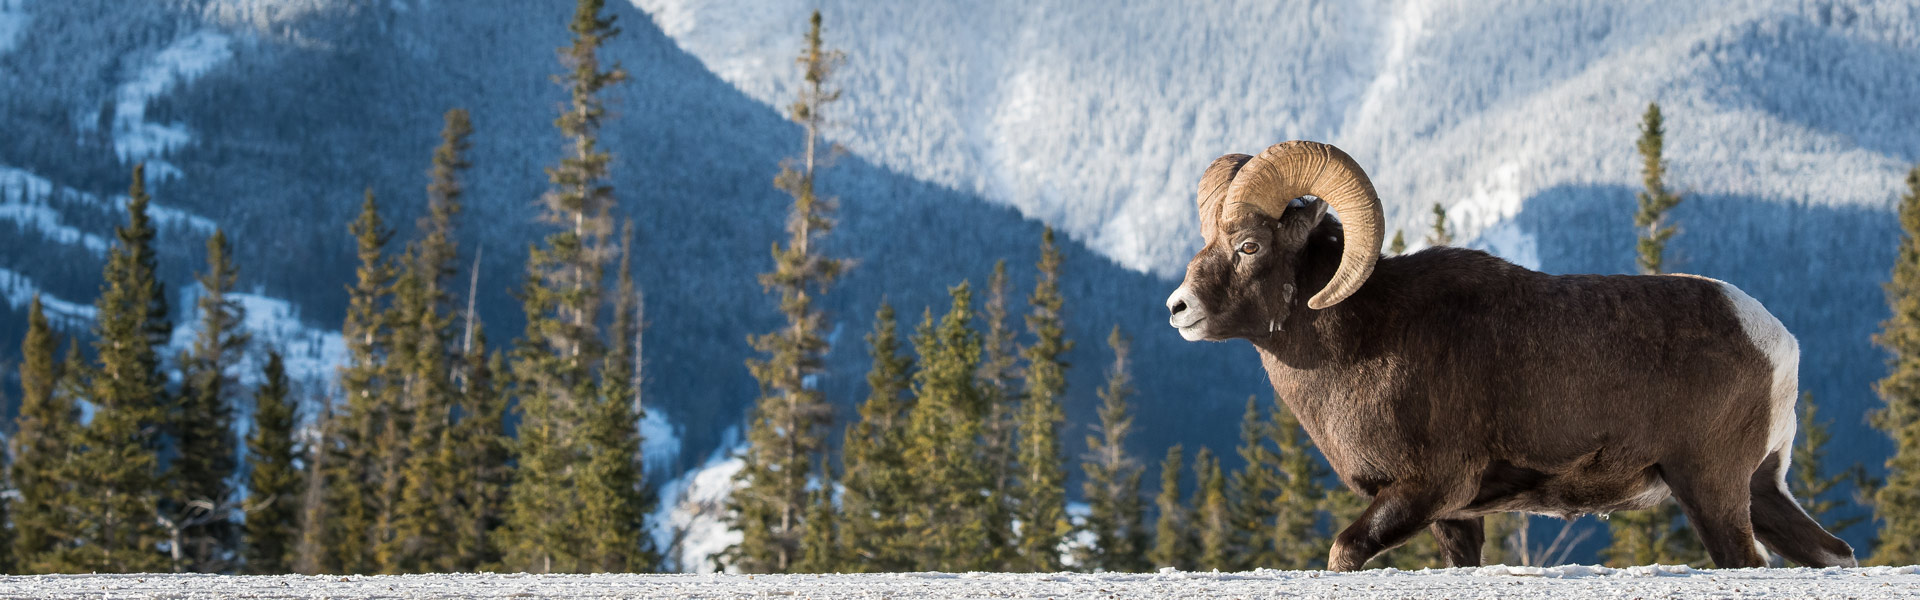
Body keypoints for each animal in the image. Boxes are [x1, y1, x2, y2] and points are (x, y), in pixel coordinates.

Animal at [1167, 140, 1858, 573]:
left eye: (1250, 245)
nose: (1178, 309)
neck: (1363, 341)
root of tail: (1777, 342)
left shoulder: (1426, 490)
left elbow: (1344, 552)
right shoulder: (1454, 518)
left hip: (1710, 489)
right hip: (1760, 487)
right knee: (1835, 554)